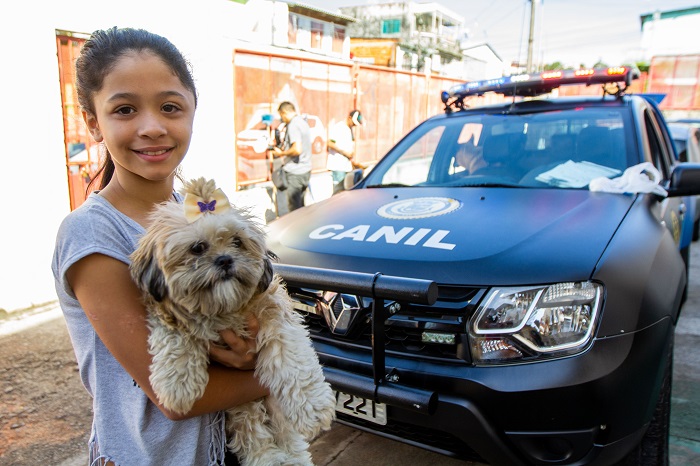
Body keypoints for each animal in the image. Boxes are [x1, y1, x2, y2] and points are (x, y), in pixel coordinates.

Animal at [132, 178, 340, 466]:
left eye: (237, 242)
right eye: (197, 248)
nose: (225, 260)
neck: (224, 310)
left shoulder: (277, 316)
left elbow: (292, 360)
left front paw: (313, 408)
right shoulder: (166, 311)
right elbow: (174, 339)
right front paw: (176, 385)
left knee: (284, 434)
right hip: (242, 405)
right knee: (252, 432)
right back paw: (268, 458)